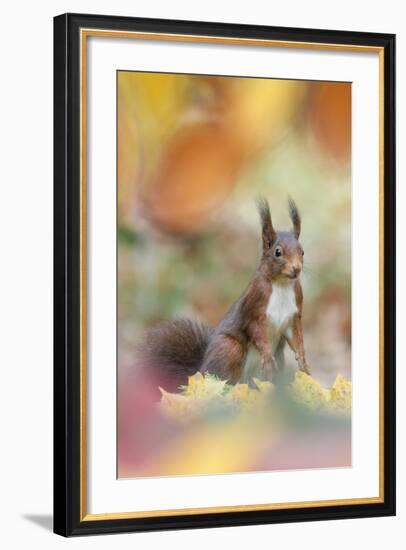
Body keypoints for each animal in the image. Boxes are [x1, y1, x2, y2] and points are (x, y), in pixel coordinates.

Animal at [139, 198, 308, 392]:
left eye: (302, 251)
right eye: (277, 252)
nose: (296, 269)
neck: (281, 284)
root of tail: (199, 374)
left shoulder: (294, 314)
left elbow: (296, 337)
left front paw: (303, 362)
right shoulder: (255, 305)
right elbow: (255, 330)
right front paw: (266, 356)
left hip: (278, 360)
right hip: (229, 349)